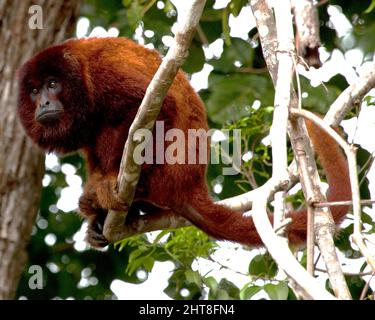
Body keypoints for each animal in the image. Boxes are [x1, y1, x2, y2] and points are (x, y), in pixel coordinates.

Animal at [16, 37, 352, 248]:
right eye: (33, 90)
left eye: (52, 84)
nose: (43, 102)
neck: (81, 74)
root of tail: (192, 185)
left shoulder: (105, 72)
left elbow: (158, 108)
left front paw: (108, 183)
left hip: (167, 175)